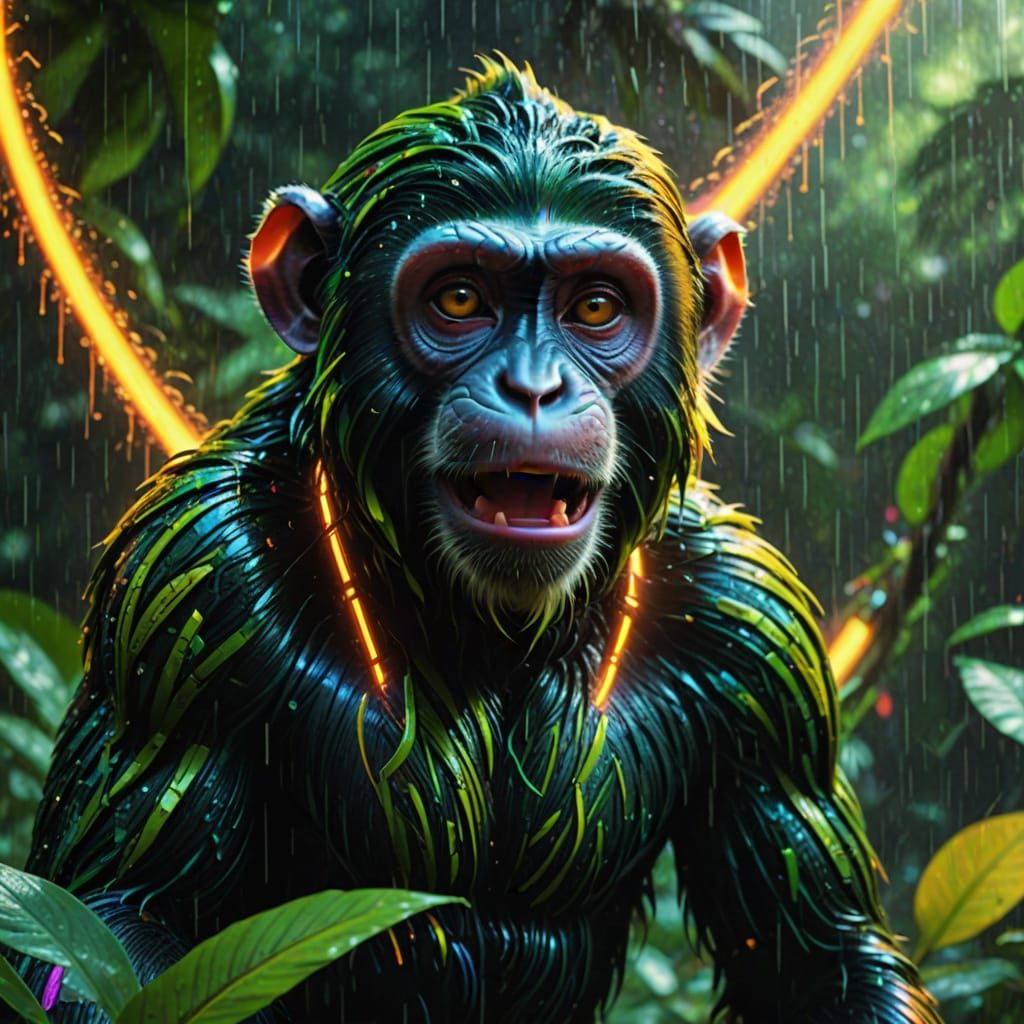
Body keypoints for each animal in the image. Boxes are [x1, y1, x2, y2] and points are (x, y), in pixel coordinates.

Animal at [22, 59, 941, 1023]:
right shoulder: (187, 584)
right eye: (460, 297)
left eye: (596, 306)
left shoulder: (763, 645)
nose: (533, 387)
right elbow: (116, 923)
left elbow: (822, 956)